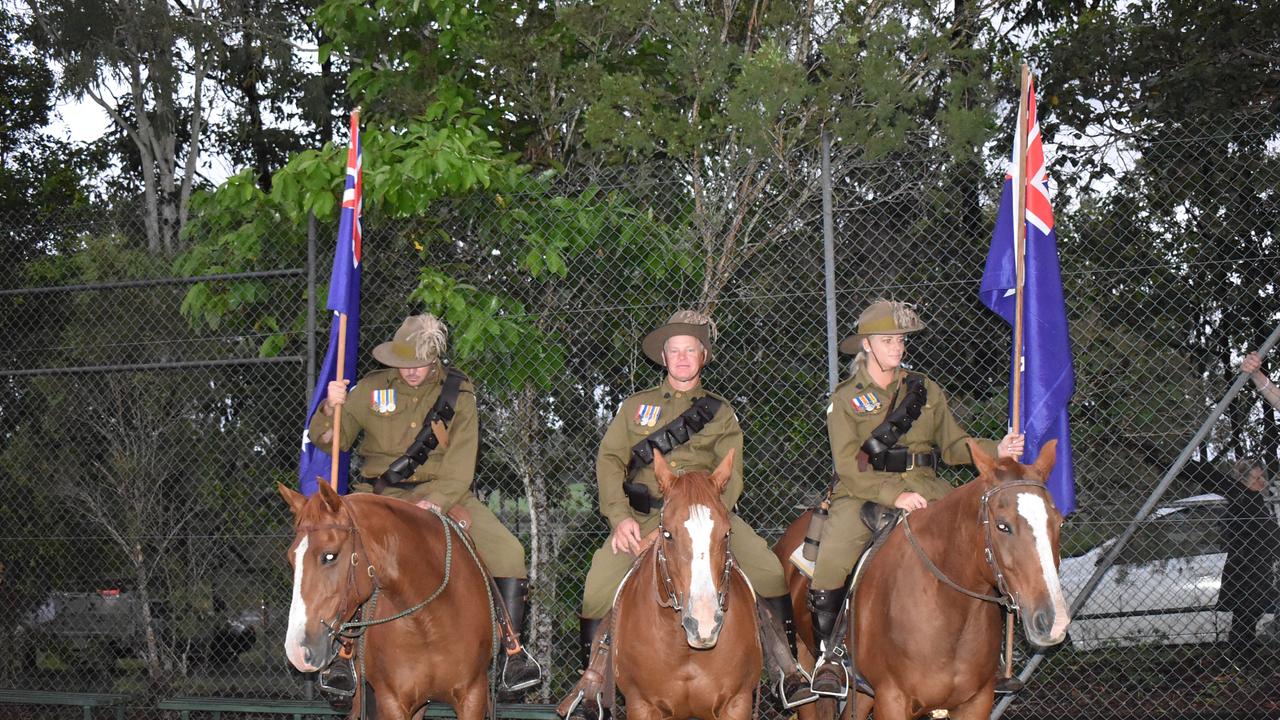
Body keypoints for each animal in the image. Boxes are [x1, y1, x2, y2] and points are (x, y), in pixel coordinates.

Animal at [280, 479, 494, 720]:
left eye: (330, 555)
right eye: (291, 559)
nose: (297, 650)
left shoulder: (473, 696)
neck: (429, 622)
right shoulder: (393, 701)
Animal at [609, 448, 757, 717]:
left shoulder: (737, 702)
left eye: (726, 533)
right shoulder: (641, 705)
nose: (704, 625)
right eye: (667, 534)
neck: (683, 648)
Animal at [778, 438, 1070, 717]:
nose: (1053, 621)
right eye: (1002, 525)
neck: (948, 609)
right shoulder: (892, 701)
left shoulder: (975, 703)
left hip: (862, 692)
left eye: (1059, 522)